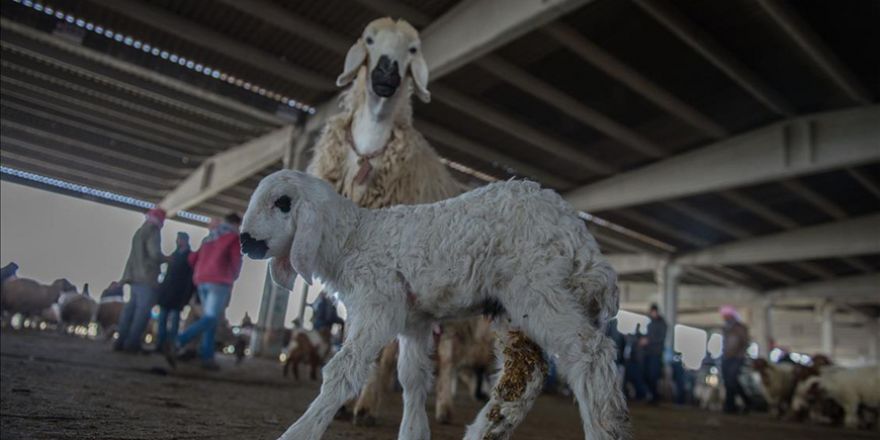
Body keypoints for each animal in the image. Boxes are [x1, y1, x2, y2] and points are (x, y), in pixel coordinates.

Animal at [237, 170, 628, 440]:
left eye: (282, 202)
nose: (244, 241)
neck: (353, 240)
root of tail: (581, 239)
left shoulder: (378, 302)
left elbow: (342, 370)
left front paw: (299, 432)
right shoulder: (415, 319)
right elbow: (412, 377)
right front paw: (413, 433)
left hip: (538, 284)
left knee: (589, 354)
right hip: (516, 303)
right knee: (526, 373)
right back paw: (482, 432)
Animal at [306, 17, 492, 426]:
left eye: (412, 49)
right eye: (369, 40)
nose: (386, 72)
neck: (370, 151)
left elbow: (386, 350)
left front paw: (365, 406)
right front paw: (346, 404)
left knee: (449, 357)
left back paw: (444, 408)